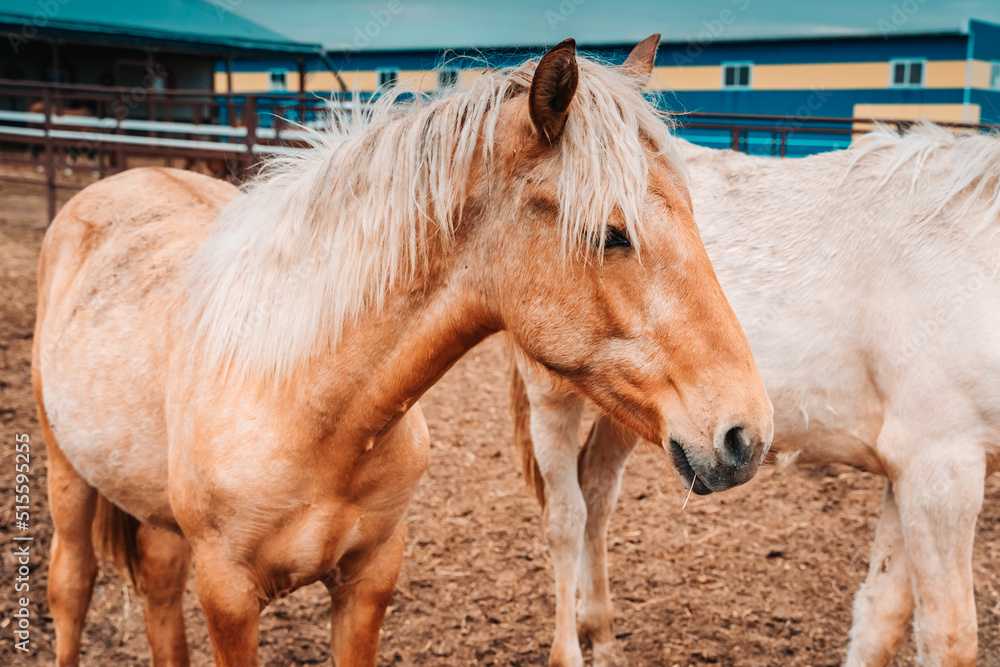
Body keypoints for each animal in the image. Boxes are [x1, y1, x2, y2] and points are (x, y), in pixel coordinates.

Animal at [33, 37, 774, 666]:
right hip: (66, 476)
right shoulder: (229, 595)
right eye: (610, 234)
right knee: (71, 587)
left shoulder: (369, 581)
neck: (305, 403)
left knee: (158, 593)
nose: (747, 434)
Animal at [512, 122, 1000, 667]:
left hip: (634, 412)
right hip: (553, 397)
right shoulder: (941, 470)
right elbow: (949, 638)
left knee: (596, 496)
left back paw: (600, 633)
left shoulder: (910, 474)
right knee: (566, 519)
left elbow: (881, 621)